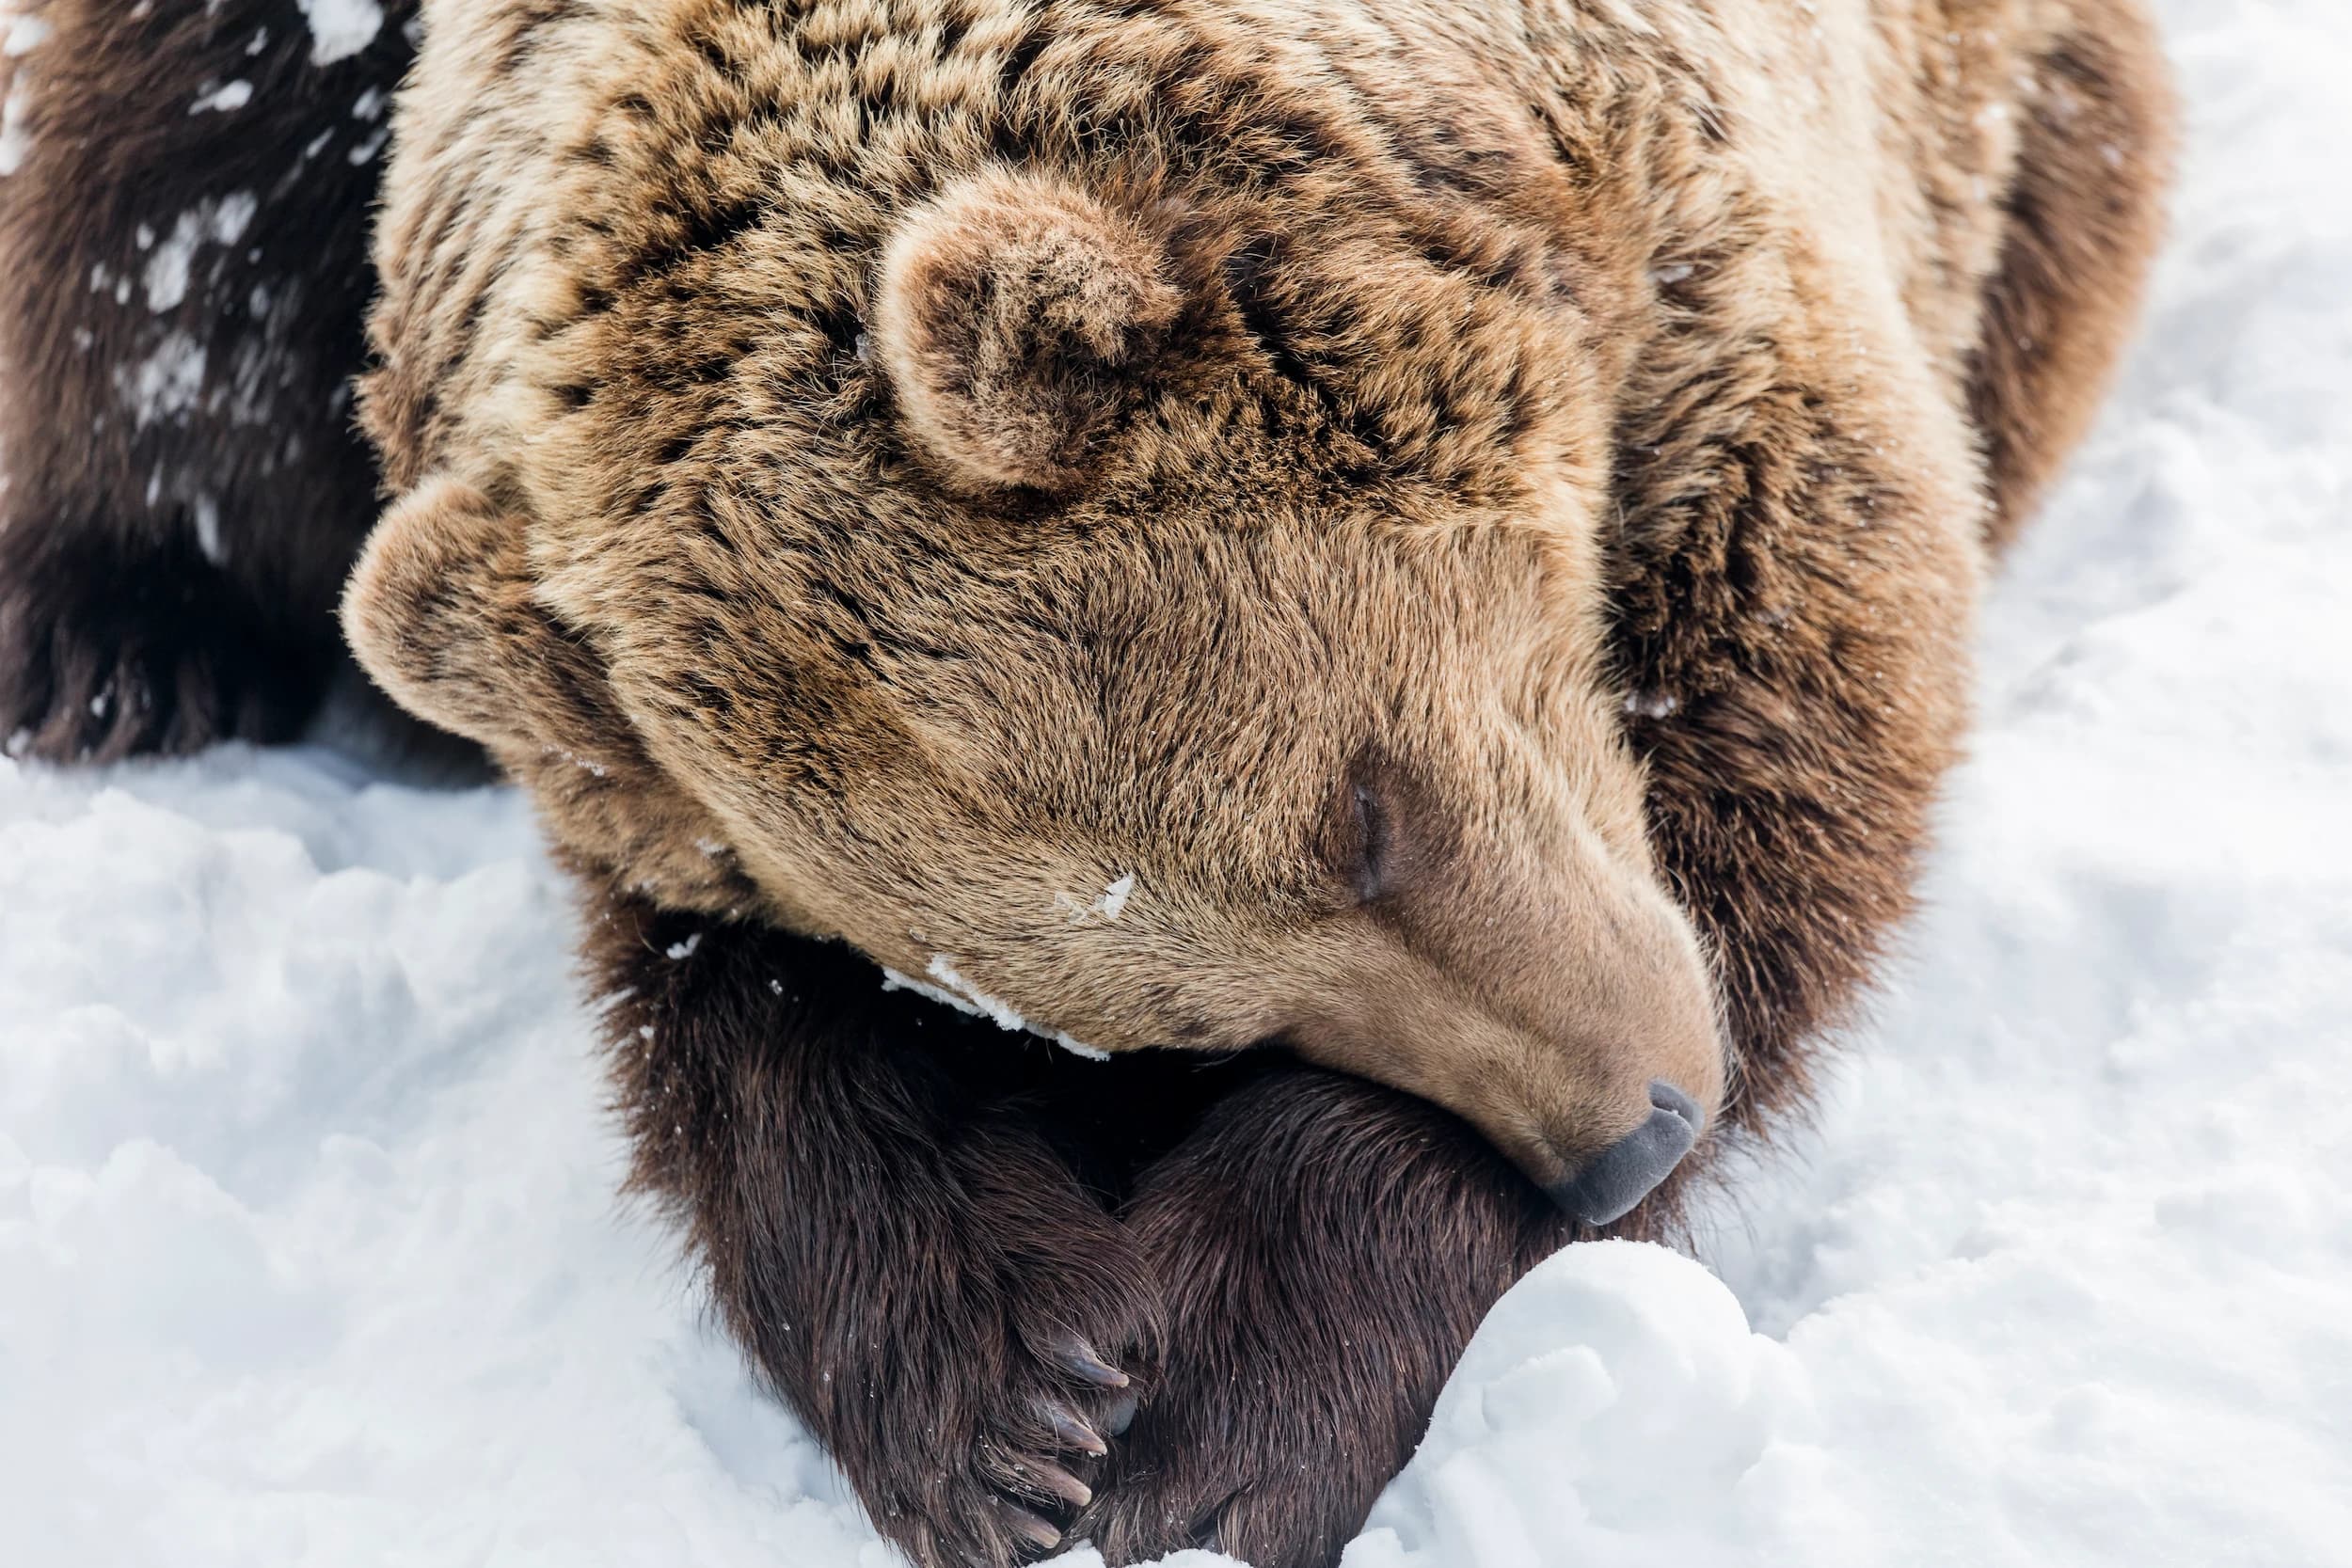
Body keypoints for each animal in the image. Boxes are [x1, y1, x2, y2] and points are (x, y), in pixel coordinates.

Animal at [0, 3, 2175, 1567]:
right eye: (1168, 1018)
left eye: (1361, 807)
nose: (1627, 1130)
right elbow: (728, 993)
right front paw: (1013, 1398)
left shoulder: (1727, 288)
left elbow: (1786, 737)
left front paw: (1221, 1400)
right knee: (164, 202)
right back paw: (114, 636)